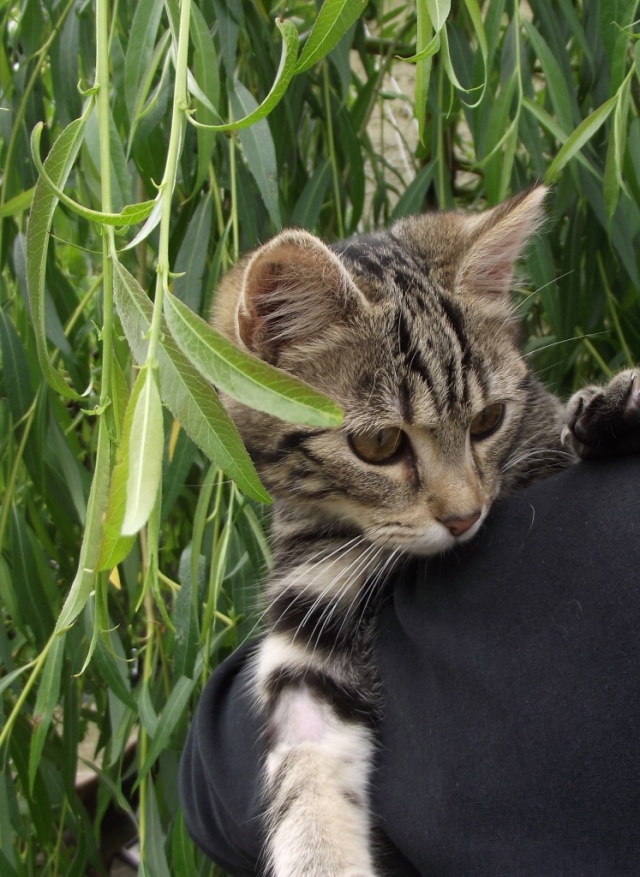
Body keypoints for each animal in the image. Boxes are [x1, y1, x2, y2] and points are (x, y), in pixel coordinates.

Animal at [212, 186, 640, 876]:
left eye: (489, 420)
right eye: (379, 445)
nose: (465, 516)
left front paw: (612, 408)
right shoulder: (309, 611)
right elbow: (305, 769)